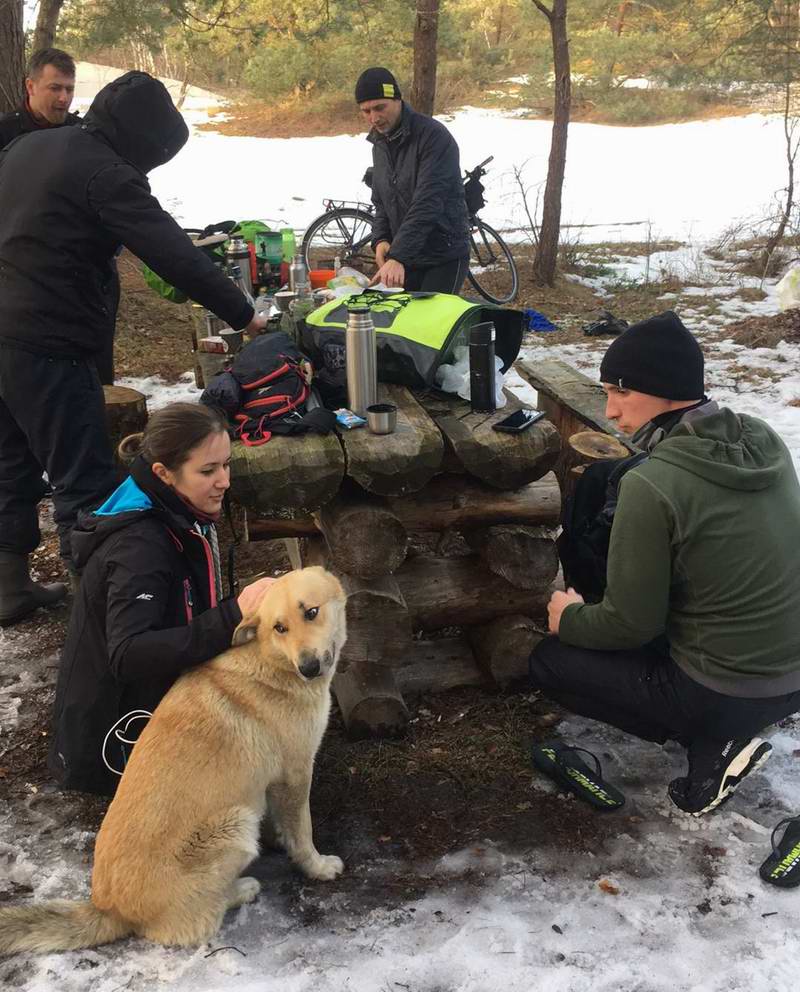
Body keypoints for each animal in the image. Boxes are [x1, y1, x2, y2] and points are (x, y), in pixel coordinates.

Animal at [1, 564, 348, 952]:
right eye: (280, 627)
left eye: (311, 612)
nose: (309, 667)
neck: (268, 661)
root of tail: (109, 909)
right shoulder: (297, 774)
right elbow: (303, 832)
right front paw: (317, 867)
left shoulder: (276, 783)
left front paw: (279, 838)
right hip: (235, 825)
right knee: (197, 920)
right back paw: (240, 889)